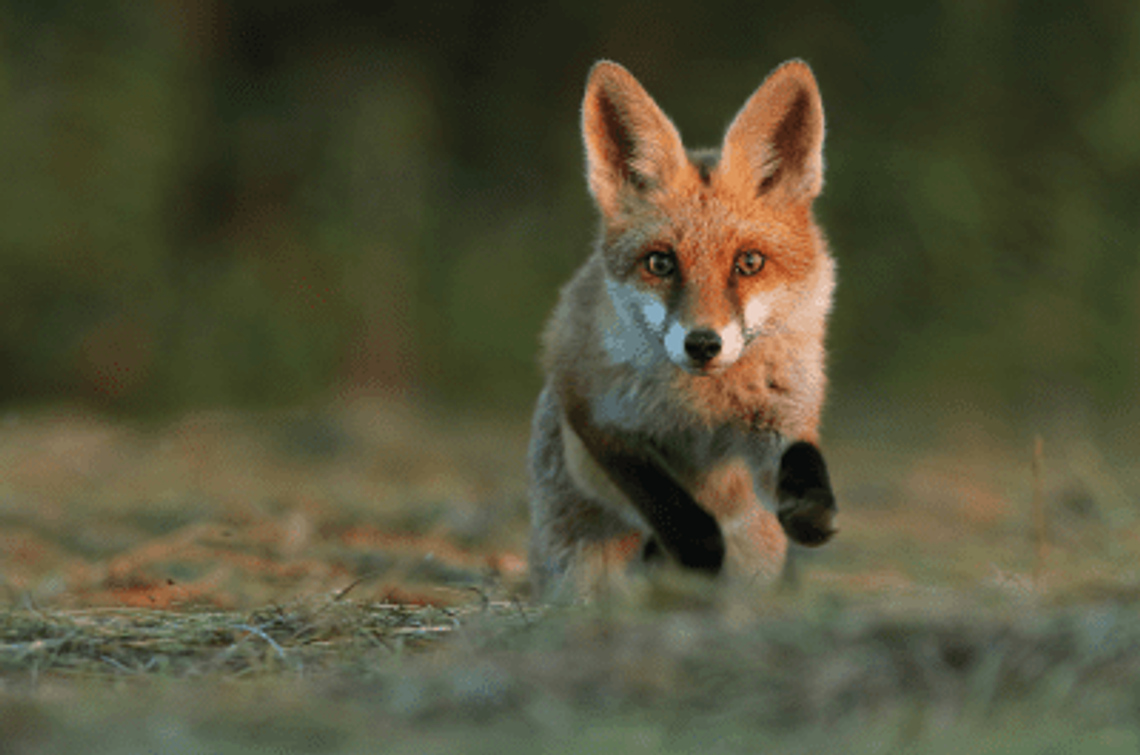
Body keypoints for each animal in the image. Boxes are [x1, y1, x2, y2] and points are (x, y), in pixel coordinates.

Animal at [526, 59, 839, 602]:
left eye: (749, 263)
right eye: (660, 263)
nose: (703, 344)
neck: (701, 409)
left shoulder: (781, 412)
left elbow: (801, 453)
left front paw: (810, 507)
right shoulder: (595, 419)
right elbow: (673, 507)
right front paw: (695, 556)